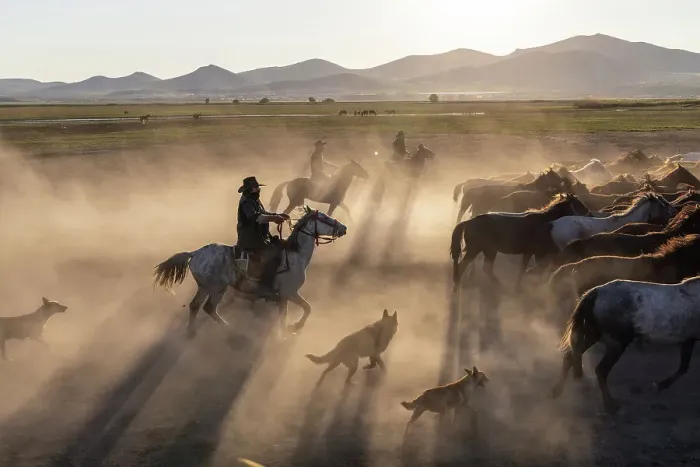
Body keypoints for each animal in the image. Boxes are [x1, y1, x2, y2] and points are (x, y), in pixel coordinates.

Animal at [153, 207, 347, 338]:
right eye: (324, 217)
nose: (344, 228)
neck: (295, 254)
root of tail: (194, 253)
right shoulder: (289, 293)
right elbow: (305, 309)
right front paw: (292, 329)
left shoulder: (285, 296)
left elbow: (297, 311)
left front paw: (288, 330)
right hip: (217, 289)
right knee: (209, 308)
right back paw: (228, 328)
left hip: (204, 287)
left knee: (195, 306)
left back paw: (191, 332)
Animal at [450, 193, 591, 292]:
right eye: (579, 204)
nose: (590, 214)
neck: (545, 222)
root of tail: (469, 221)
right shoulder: (539, 253)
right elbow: (536, 268)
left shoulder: (528, 252)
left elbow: (522, 270)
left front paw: (518, 287)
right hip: (476, 249)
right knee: (465, 266)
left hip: (488, 250)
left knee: (485, 268)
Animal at [551, 272, 700, 414]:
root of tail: (596, 293)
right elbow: (683, 369)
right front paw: (657, 386)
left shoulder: (688, 340)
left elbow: (683, 368)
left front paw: (657, 386)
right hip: (617, 344)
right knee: (601, 370)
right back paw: (610, 406)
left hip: (591, 335)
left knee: (570, 357)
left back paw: (557, 391)